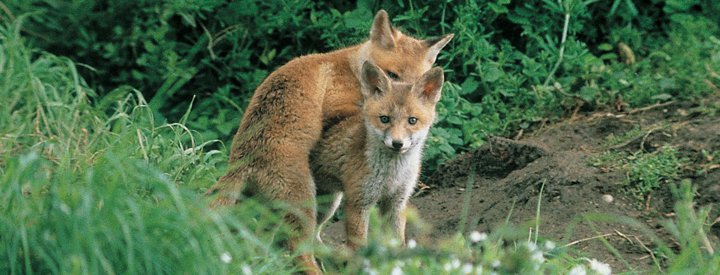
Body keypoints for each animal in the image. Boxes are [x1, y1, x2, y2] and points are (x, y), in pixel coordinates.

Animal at [202, 9, 450, 274]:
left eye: (419, 80)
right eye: (393, 75)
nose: (404, 92)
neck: (350, 68)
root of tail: (239, 160)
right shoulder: (338, 109)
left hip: (323, 202)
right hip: (305, 200)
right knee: (297, 248)